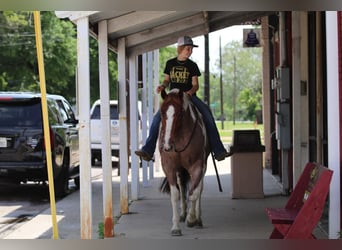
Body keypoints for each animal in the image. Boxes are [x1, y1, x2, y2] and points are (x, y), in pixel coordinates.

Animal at [159, 88, 210, 236]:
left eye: (179, 113)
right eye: (161, 112)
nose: (167, 145)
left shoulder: (197, 165)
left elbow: (194, 193)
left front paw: (191, 218)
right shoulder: (169, 167)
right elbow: (175, 194)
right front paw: (176, 227)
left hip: (202, 166)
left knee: (199, 188)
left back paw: (198, 219)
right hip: (180, 170)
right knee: (182, 187)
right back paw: (183, 214)